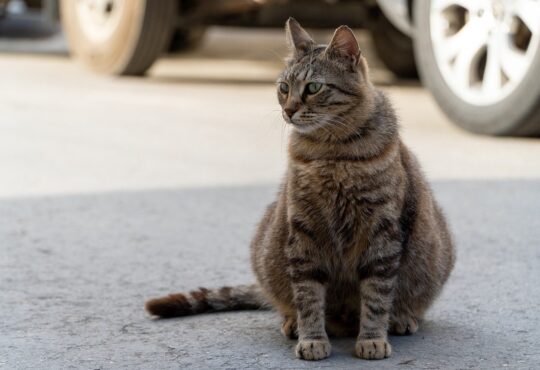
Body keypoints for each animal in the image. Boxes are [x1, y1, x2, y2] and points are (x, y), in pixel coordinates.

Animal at [146, 17, 454, 362]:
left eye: (313, 88)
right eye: (283, 88)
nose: (289, 110)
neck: (330, 152)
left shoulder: (381, 232)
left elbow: (376, 295)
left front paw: (372, 338)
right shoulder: (304, 230)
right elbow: (308, 295)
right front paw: (312, 338)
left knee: (407, 302)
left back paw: (401, 318)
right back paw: (293, 321)